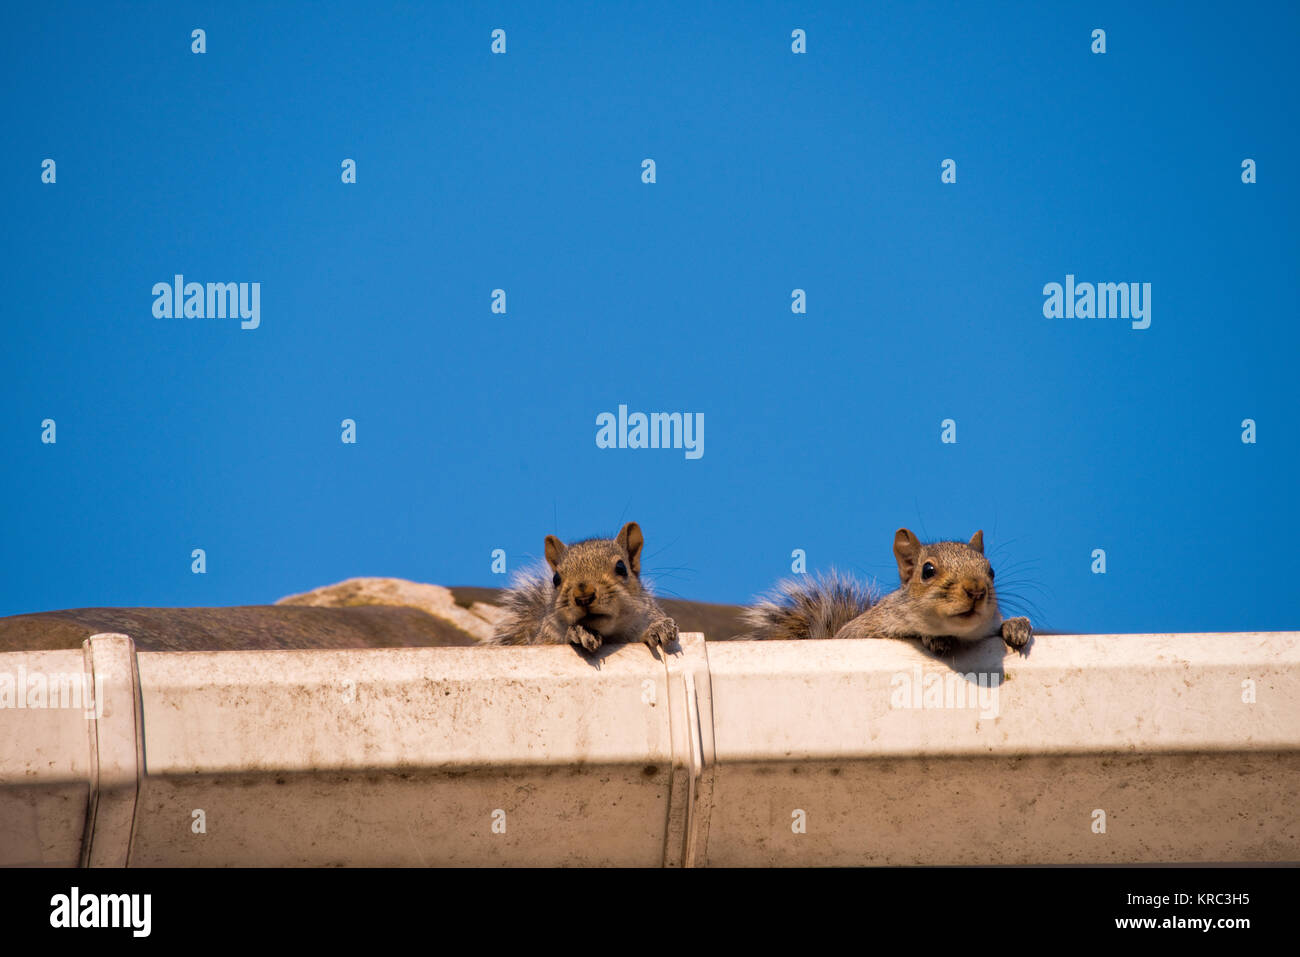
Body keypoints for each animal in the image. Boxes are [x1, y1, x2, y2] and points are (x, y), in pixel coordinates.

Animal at [486, 521, 679, 652]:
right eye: (556, 578)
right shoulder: (543, 641)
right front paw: (579, 633)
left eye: (621, 567)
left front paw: (659, 628)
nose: (583, 596)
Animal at [742, 528, 1032, 655]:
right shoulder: (860, 632)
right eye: (927, 570)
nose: (976, 590)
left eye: (991, 571)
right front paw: (934, 637)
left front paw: (1016, 627)